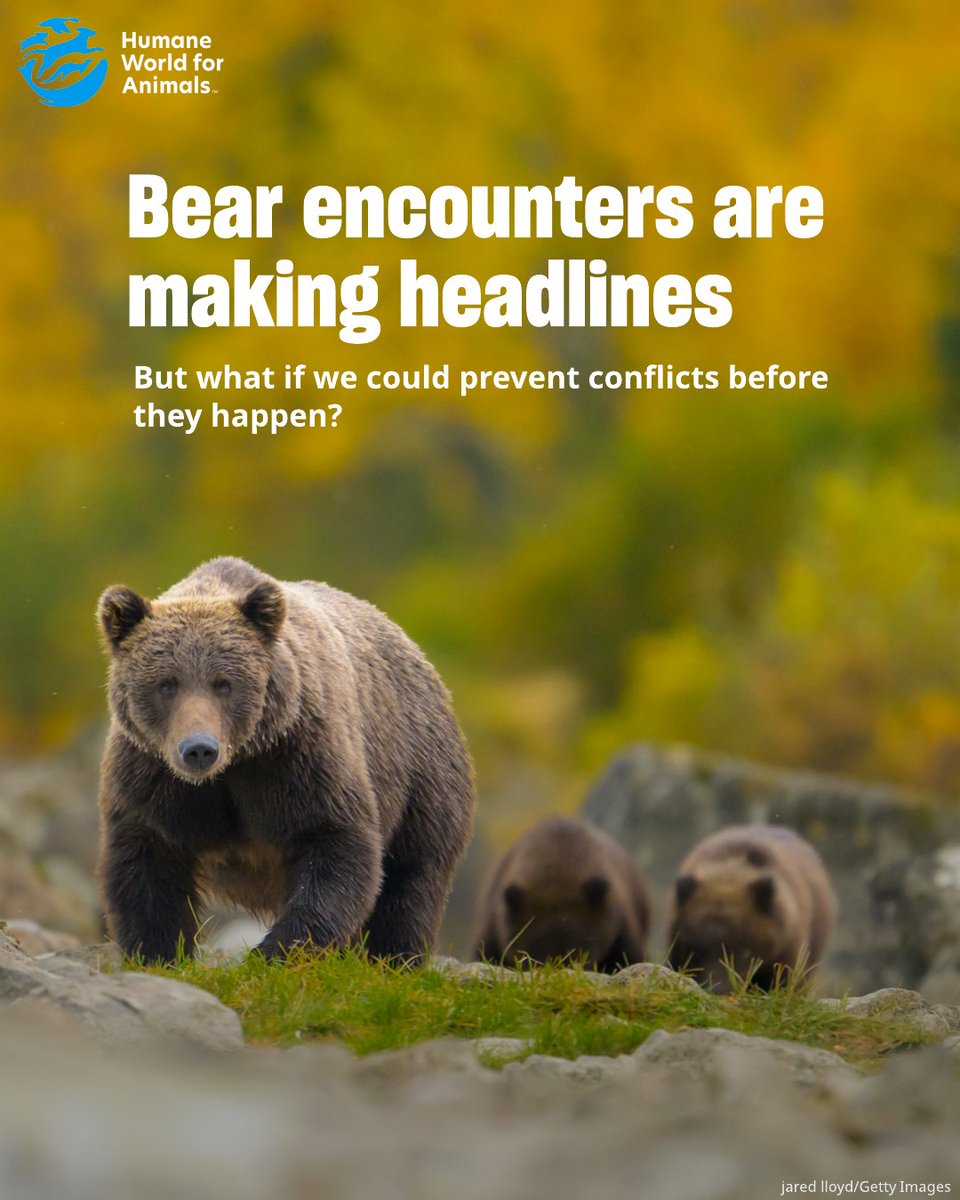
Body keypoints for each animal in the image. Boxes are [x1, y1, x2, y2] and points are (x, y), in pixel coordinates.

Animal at [96, 556, 475, 963]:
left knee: (412, 876)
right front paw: (157, 951)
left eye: (223, 683)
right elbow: (147, 857)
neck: (233, 765)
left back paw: (394, 957)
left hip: (419, 775)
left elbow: (335, 840)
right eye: (167, 683)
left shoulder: (296, 756)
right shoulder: (153, 775)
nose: (199, 748)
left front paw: (276, 951)